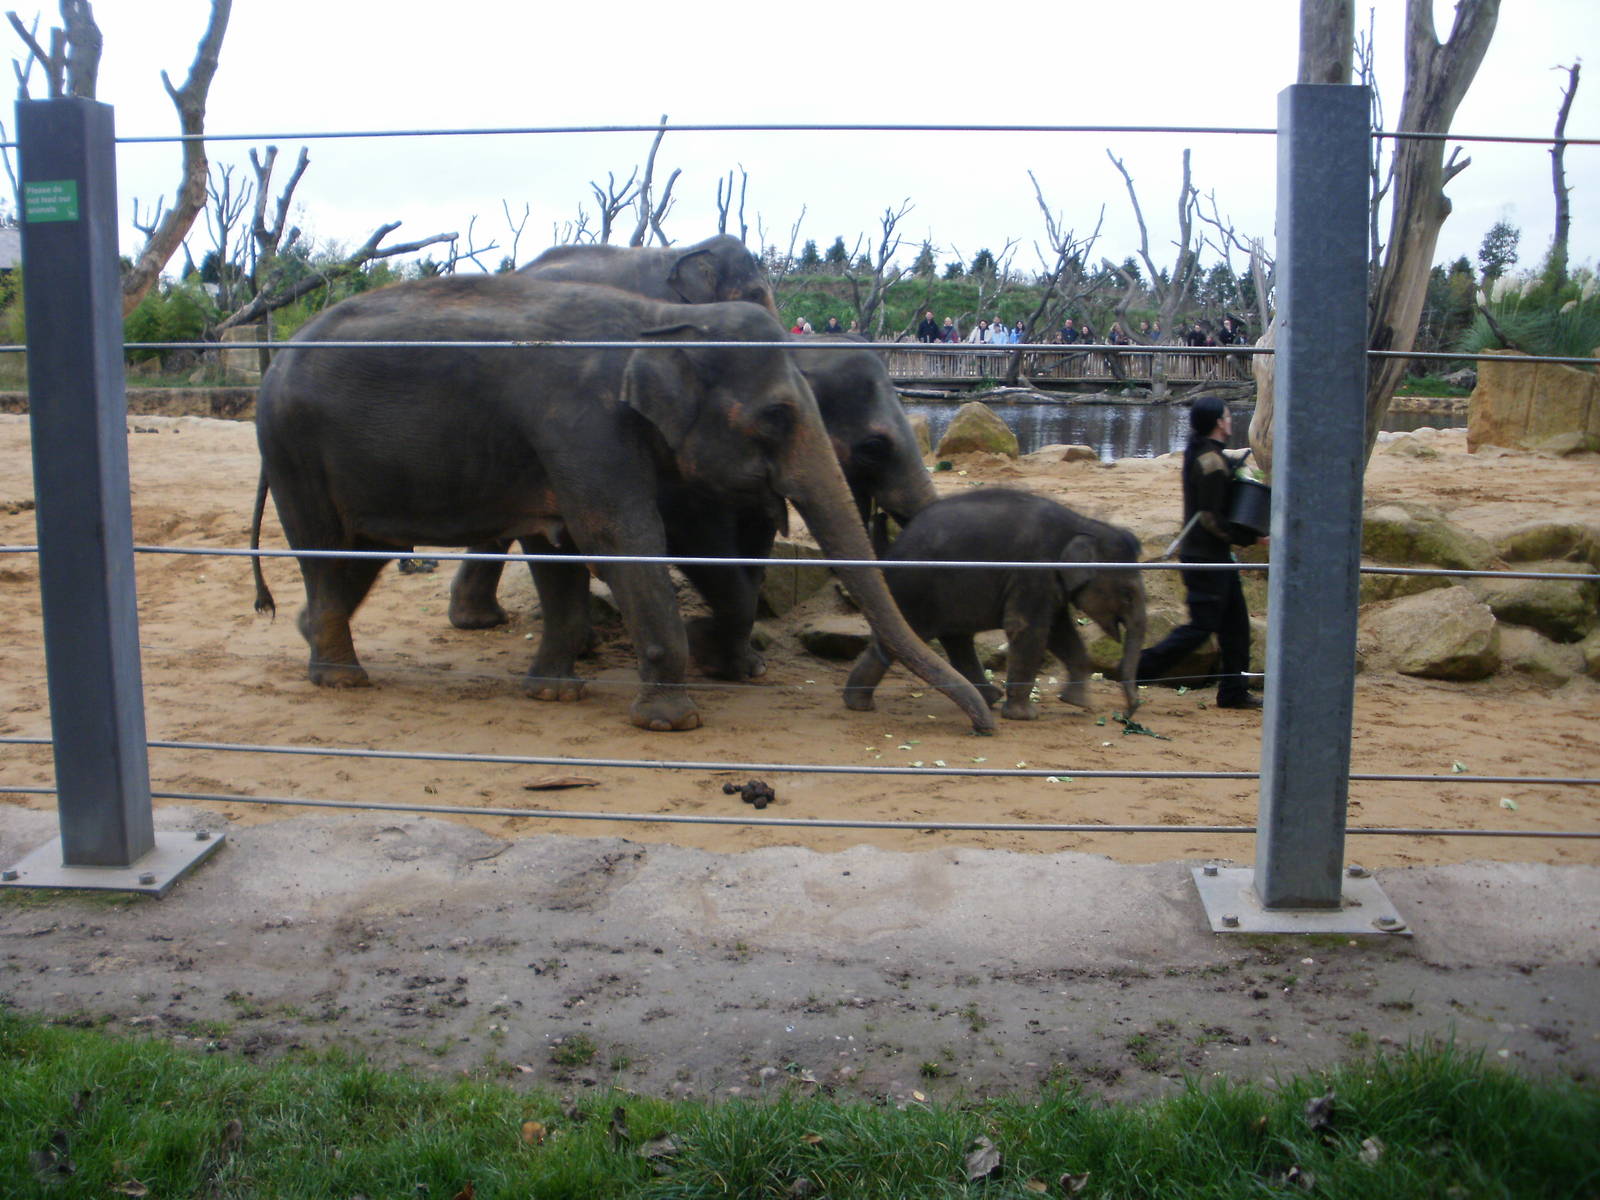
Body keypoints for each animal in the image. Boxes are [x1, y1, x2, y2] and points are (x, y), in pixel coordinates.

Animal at [249, 274, 996, 734]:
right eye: (778, 415)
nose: (982, 722)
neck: (661, 324)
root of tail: (273, 359)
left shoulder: (561, 446)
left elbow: (559, 549)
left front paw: (556, 691)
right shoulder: (583, 424)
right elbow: (625, 537)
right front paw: (676, 714)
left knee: (361, 554)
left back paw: (314, 638)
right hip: (292, 447)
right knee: (326, 549)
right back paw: (341, 679)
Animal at [843, 488, 1148, 721]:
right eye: (1127, 594)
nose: (1128, 713)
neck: (1082, 524)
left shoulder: (1050, 583)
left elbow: (1059, 632)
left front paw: (1077, 702)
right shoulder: (1034, 569)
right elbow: (1028, 629)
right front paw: (1025, 716)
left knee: (957, 639)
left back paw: (988, 698)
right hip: (915, 592)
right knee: (902, 639)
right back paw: (859, 704)